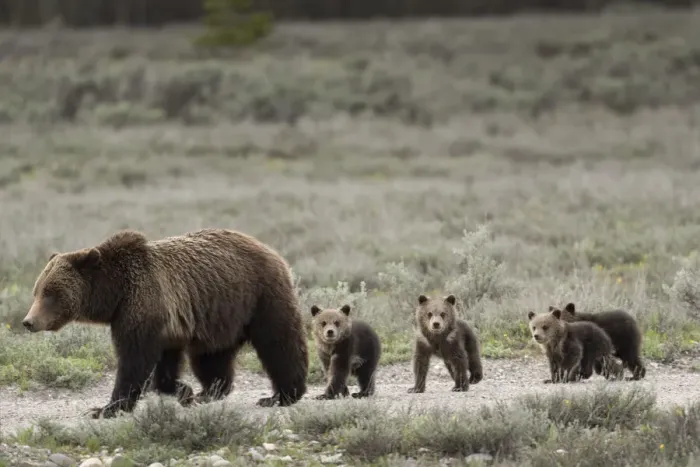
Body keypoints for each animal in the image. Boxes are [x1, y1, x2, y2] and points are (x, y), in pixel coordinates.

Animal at [22, 228, 309, 418]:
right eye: (36, 291)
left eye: (51, 293)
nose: (28, 321)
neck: (115, 293)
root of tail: (269, 249)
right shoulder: (166, 325)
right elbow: (163, 366)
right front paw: (184, 391)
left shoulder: (143, 306)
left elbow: (134, 361)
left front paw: (106, 408)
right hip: (219, 316)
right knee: (210, 356)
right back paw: (210, 391)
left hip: (260, 296)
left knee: (279, 342)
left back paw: (281, 395)